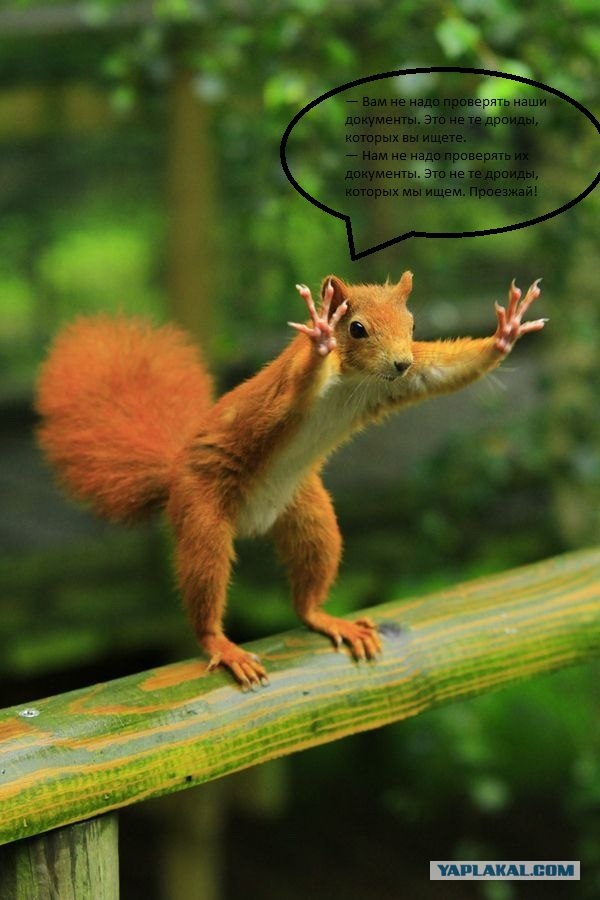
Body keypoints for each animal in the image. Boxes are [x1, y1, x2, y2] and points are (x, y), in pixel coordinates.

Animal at [35, 272, 546, 688]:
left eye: (414, 325)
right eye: (356, 328)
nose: (400, 362)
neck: (354, 380)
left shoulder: (402, 381)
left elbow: (442, 371)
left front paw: (506, 333)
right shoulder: (285, 392)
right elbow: (297, 386)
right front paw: (320, 334)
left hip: (309, 514)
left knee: (307, 590)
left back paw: (326, 618)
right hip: (202, 513)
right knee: (204, 583)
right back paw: (221, 644)